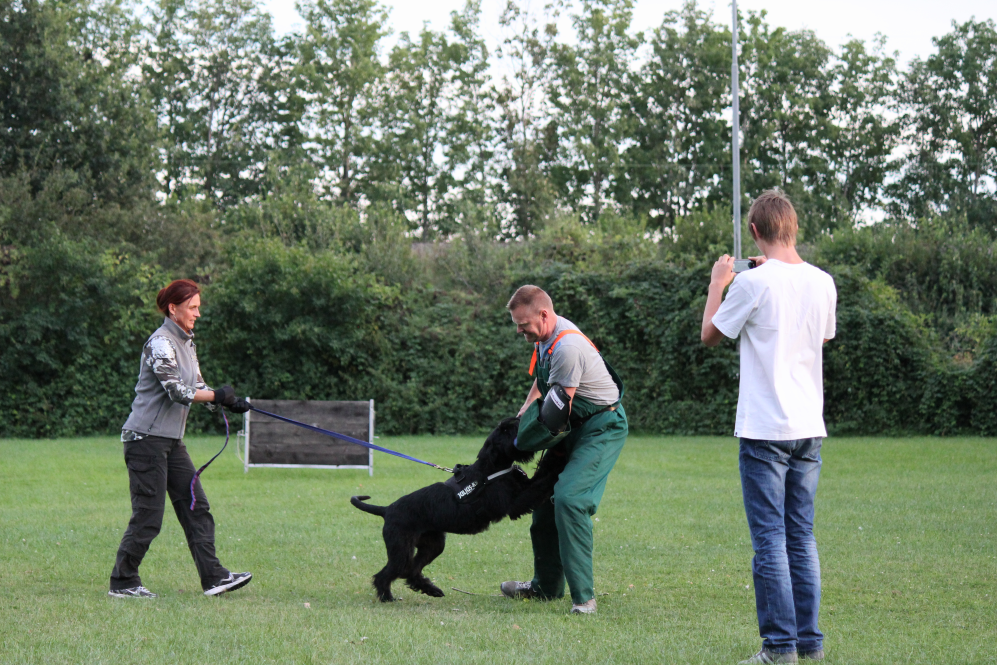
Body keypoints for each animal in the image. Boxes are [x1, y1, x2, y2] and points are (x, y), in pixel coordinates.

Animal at [354, 416, 564, 600]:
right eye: (510, 428)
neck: (491, 467)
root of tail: (386, 509)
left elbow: (538, 479)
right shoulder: (516, 504)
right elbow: (541, 483)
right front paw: (557, 465)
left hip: (433, 545)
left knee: (412, 570)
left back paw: (431, 590)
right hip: (401, 549)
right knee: (386, 574)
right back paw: (387, 597)